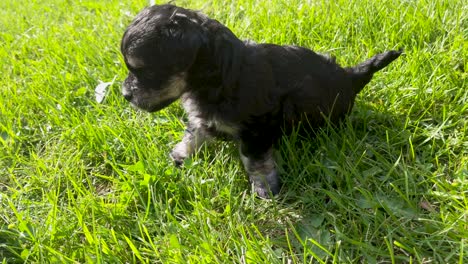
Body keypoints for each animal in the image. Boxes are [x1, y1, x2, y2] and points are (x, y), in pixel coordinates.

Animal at [120, 3, 402, 198]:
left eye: (143, 70)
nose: (125, 94)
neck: (220, 76)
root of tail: (351, 77)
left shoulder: (258, 127)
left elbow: (255, 160)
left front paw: (265, 187)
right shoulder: (204, 117)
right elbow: (194, 133)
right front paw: (180, 155)